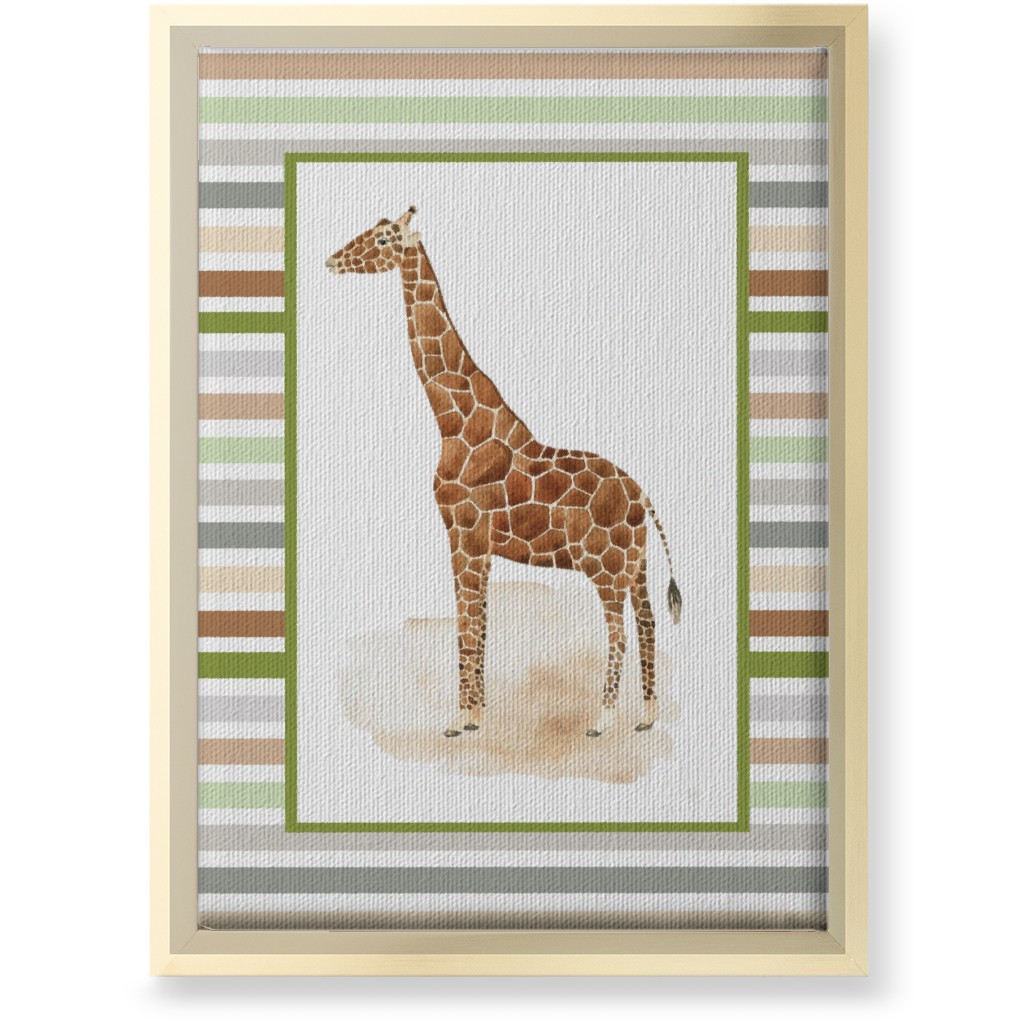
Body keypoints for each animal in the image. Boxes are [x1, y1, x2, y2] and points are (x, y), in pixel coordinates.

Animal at [326, 207, 681, 738]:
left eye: (385, 239)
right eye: (373, 228)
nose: (332, 260)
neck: (454, 424)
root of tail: (644, 497)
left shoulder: (466, 535)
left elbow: (467, 624)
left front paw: (459, 719)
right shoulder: (474, 542)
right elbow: (479, 621)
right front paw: (477, 713)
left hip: (604, 566)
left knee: (618, 631)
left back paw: (601, 720)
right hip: (635, 565)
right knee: (648, 622)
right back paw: (646, 716)